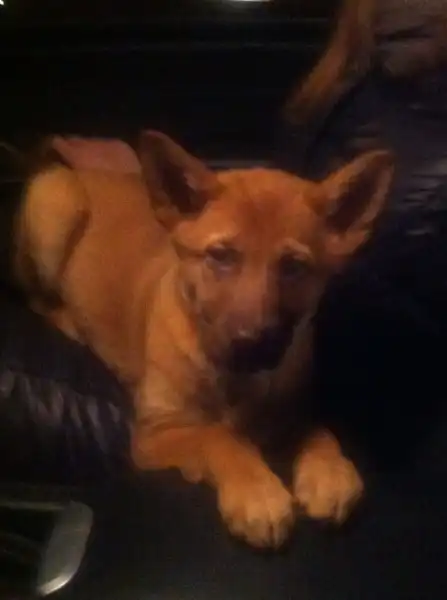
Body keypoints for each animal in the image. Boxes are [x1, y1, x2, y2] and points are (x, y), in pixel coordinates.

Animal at [14, 131, 393, 548]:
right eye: (221, 256)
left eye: (294, 266)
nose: (249, 344)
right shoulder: (155, 432)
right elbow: (216, 436)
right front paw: (256, 492)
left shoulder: (285, 411)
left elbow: (316, 428)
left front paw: (330, 471)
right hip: (56, 203)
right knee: (39, 301)